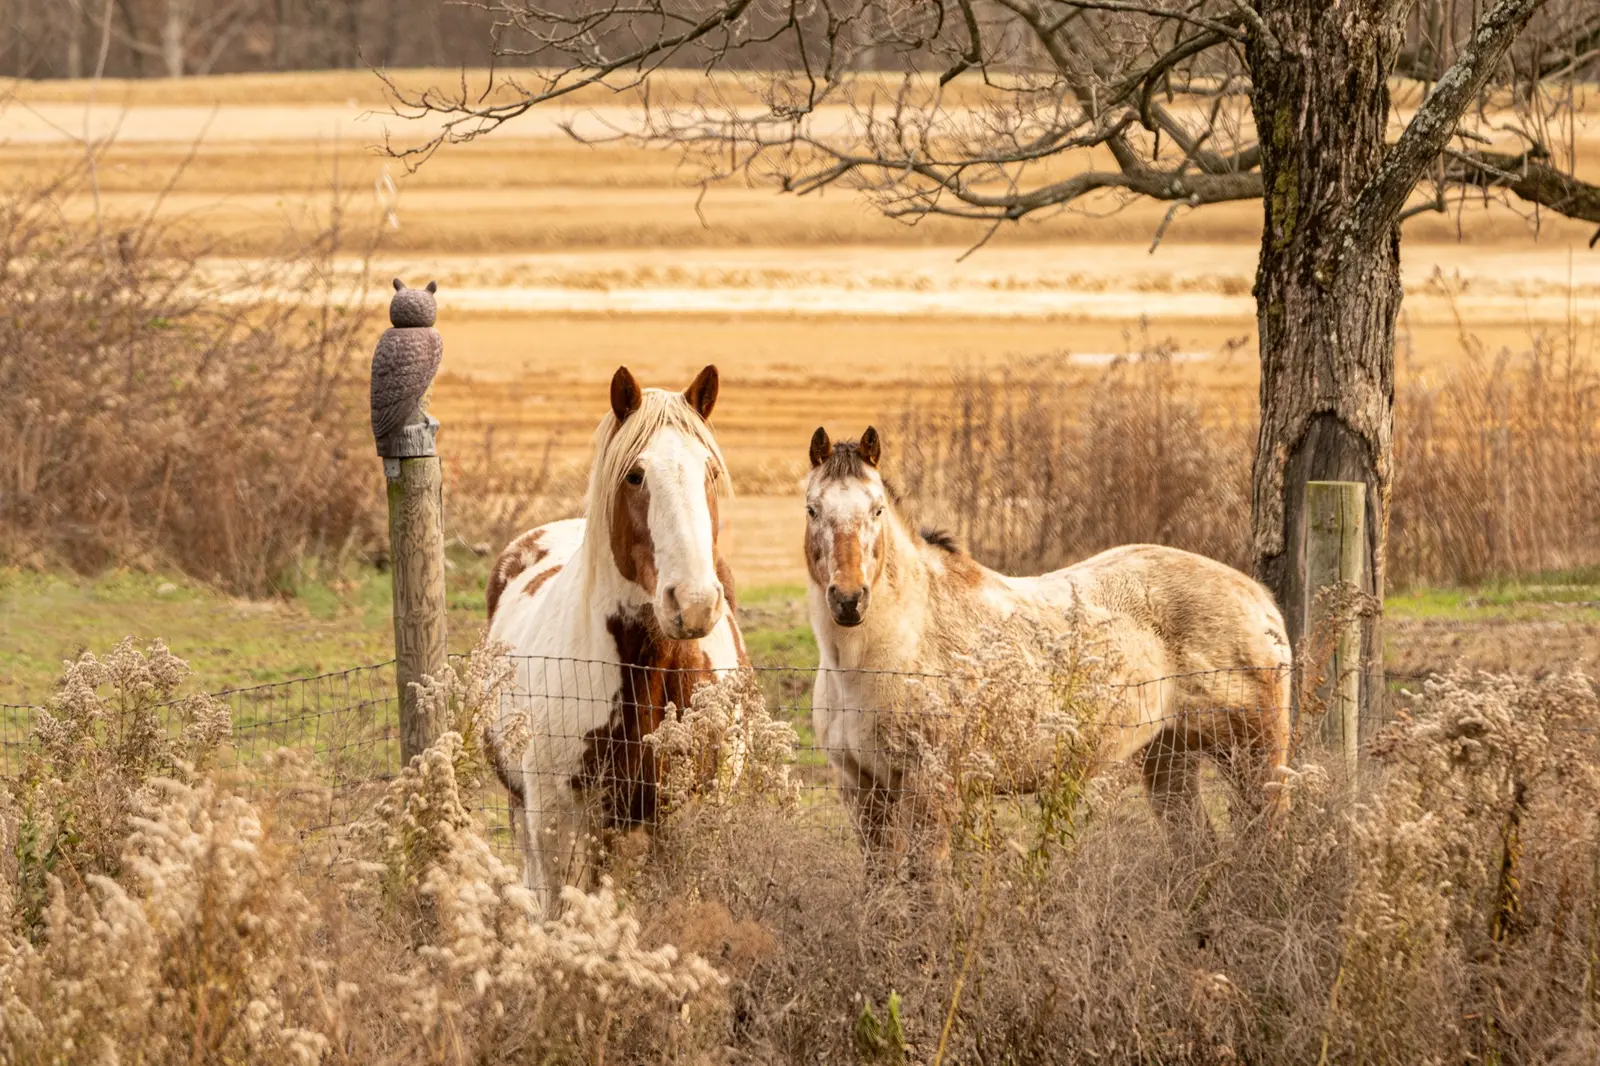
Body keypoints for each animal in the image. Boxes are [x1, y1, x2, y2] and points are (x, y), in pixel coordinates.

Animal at [802, 426, 1292, 860]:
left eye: (877, 510)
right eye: (812, 509)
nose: (849, 599)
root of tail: (1258, 598)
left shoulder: (930, 786)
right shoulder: (862, 789)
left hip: (1254, 756)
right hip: (1170, 758)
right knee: (1197, 850)